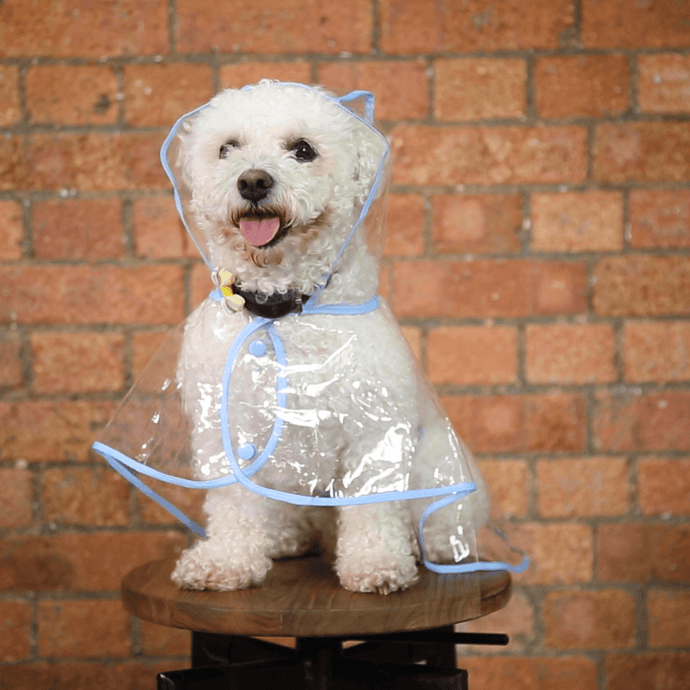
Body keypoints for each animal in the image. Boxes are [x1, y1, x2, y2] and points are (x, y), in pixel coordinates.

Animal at [169, 82, 486, 592]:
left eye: (303, 150)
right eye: (226, 148)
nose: (252, 182)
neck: (285, 309)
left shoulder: (373, 432)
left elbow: (373, 508)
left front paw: (377, 563)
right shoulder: (228, 431)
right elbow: (234, 504)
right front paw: (226, 561)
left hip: (437, 463)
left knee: (440, 519)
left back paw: (430, 547)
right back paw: (282, 537)